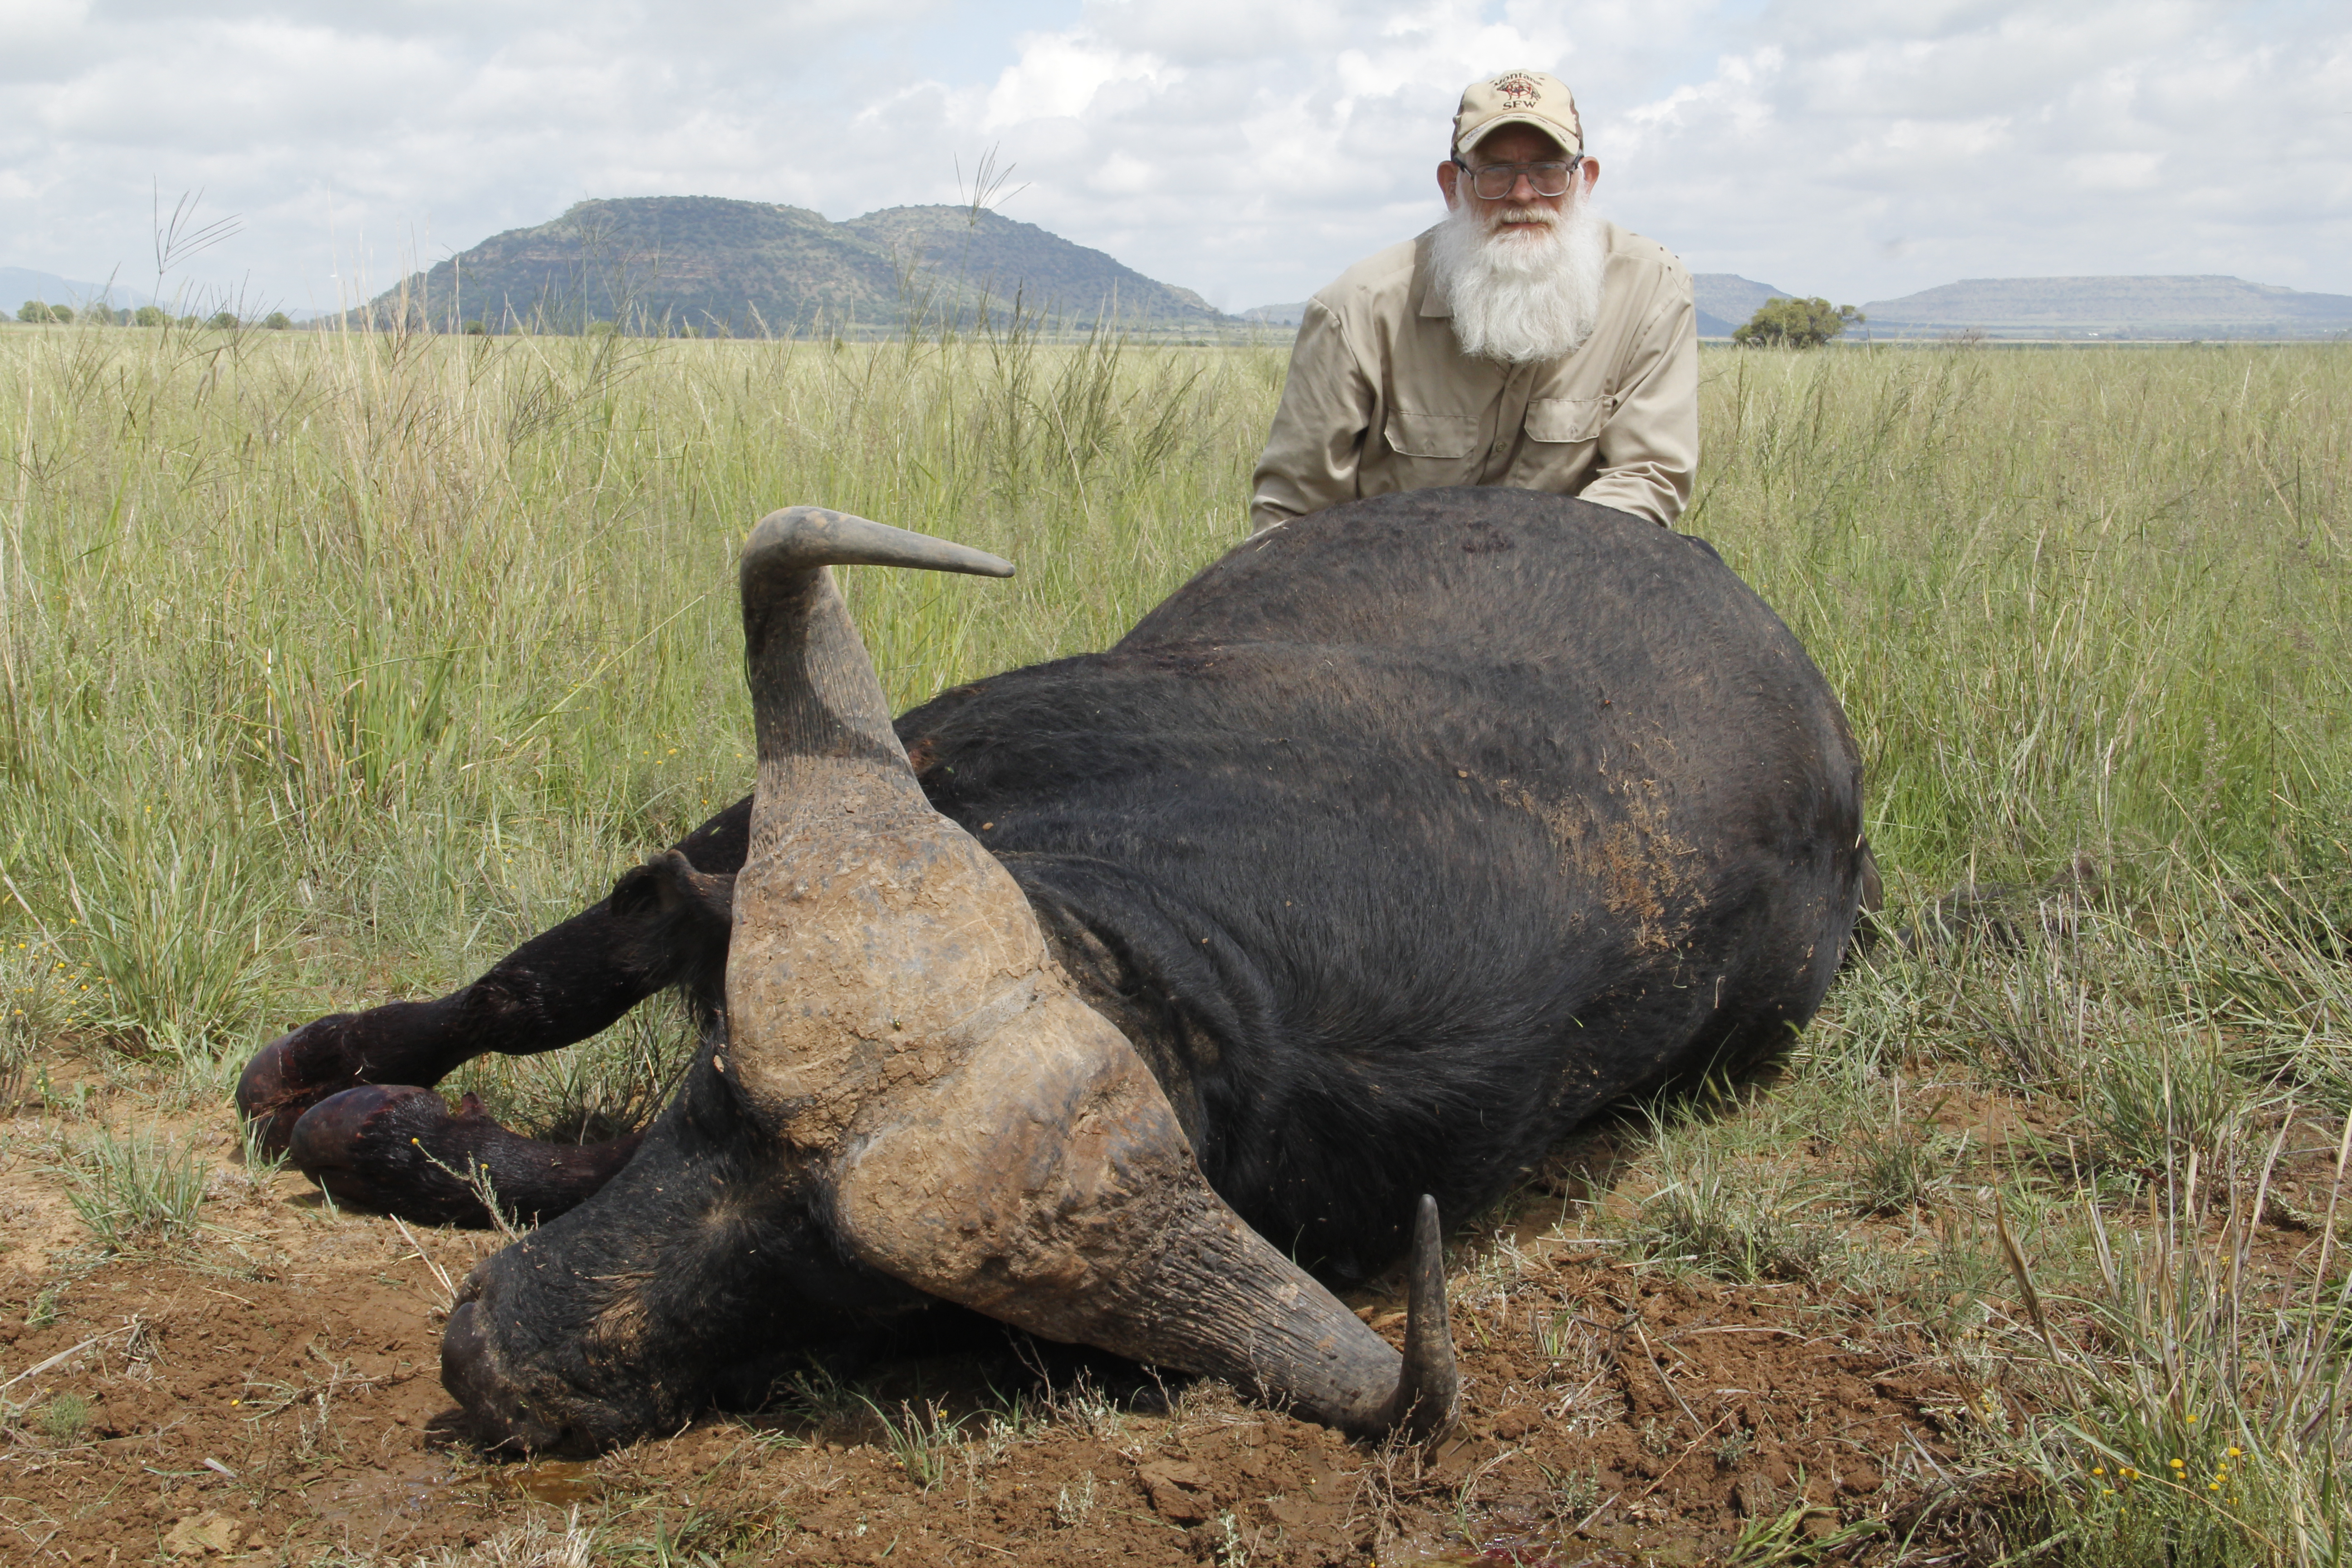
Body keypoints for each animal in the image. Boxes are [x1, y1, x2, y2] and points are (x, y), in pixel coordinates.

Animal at [236, 488, 1873, 1454]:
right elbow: (550, 982)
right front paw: (326, 1072)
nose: (492, 1358)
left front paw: (382, 1129)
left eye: (854, 1288)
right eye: (718, 1093)